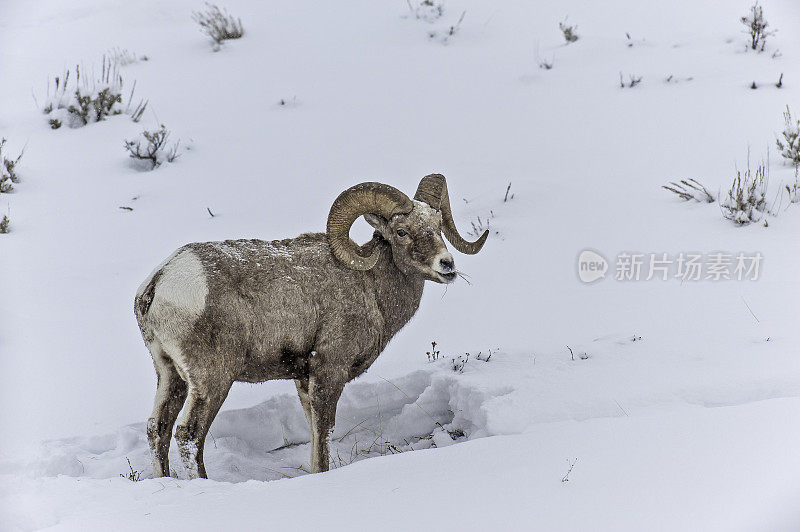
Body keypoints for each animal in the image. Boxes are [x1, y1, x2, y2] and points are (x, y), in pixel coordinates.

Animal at [133, 174, 488, 478]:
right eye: (401, 231)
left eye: (438, 226)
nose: (447, 265)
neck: (370, 287)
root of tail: (160, 282)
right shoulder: (329, 370)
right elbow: (324, 431)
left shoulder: (304, 378)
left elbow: (315, 431)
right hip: (212, 380)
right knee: (188, 435)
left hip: (170, 375)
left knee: (157, 429)